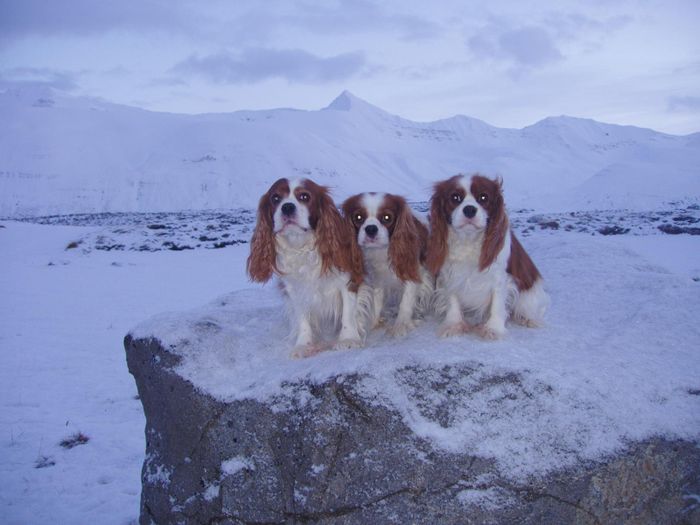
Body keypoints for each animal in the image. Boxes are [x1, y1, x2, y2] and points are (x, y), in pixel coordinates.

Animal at [247, 177, 366, 356]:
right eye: (275, 198)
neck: (300, 246)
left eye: (304, 197)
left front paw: (348, 339)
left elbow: (348, 312)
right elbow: (302, 317)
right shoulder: (294, 289)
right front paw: (304, 344)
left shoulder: (349, 279)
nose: (287, 207)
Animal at [340, 192, 432, 336]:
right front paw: (374, 322)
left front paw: (401, 325)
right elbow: (377, 301)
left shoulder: (414, 271)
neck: (382, 250)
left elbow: (406, 300)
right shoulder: (377, 276)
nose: (371, 229)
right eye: (358, 217)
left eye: (387, 218)